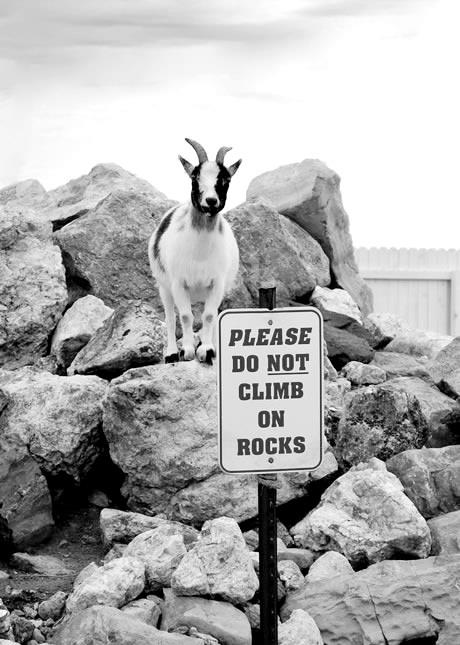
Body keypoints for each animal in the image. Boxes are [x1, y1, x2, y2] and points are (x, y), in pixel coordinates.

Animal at [148, 138, 242, 364]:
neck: (200, 253)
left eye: (226, 179)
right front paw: (188, 351)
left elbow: (209, 315)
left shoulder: (217, 284)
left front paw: (206, 350)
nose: (211, 201)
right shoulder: (178, 283)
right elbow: (185, 316)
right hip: (163, 287)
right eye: (195, 177)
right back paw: (172, 353)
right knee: (170, 318)